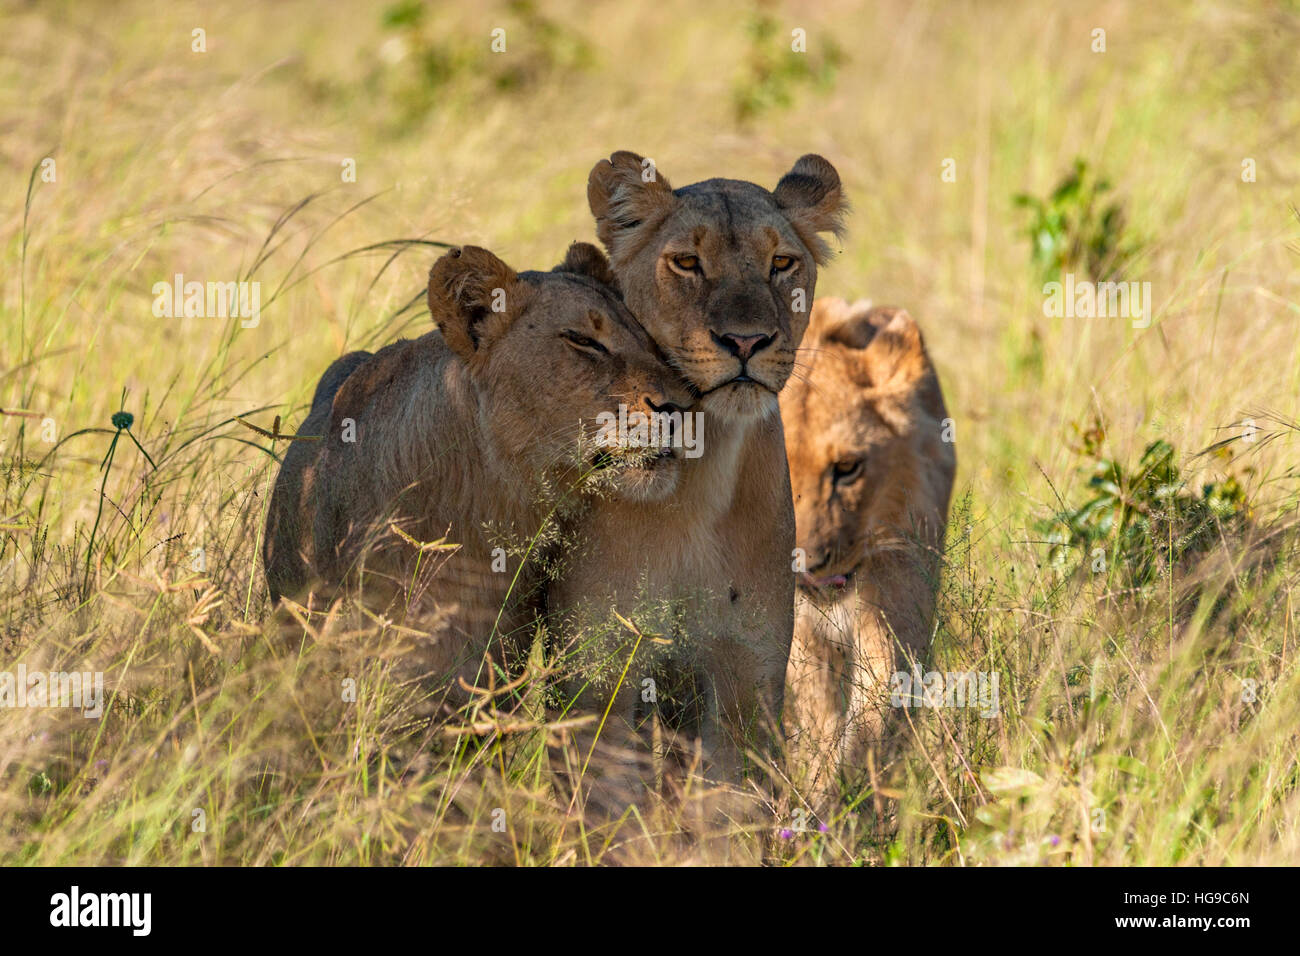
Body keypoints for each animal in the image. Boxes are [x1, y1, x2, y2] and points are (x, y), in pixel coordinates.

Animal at [551, 151, 847, 801]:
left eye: (781, 262)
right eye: (687, 262)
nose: (746, 341)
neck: (701, 475)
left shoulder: (746, 674)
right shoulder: (599, 676)